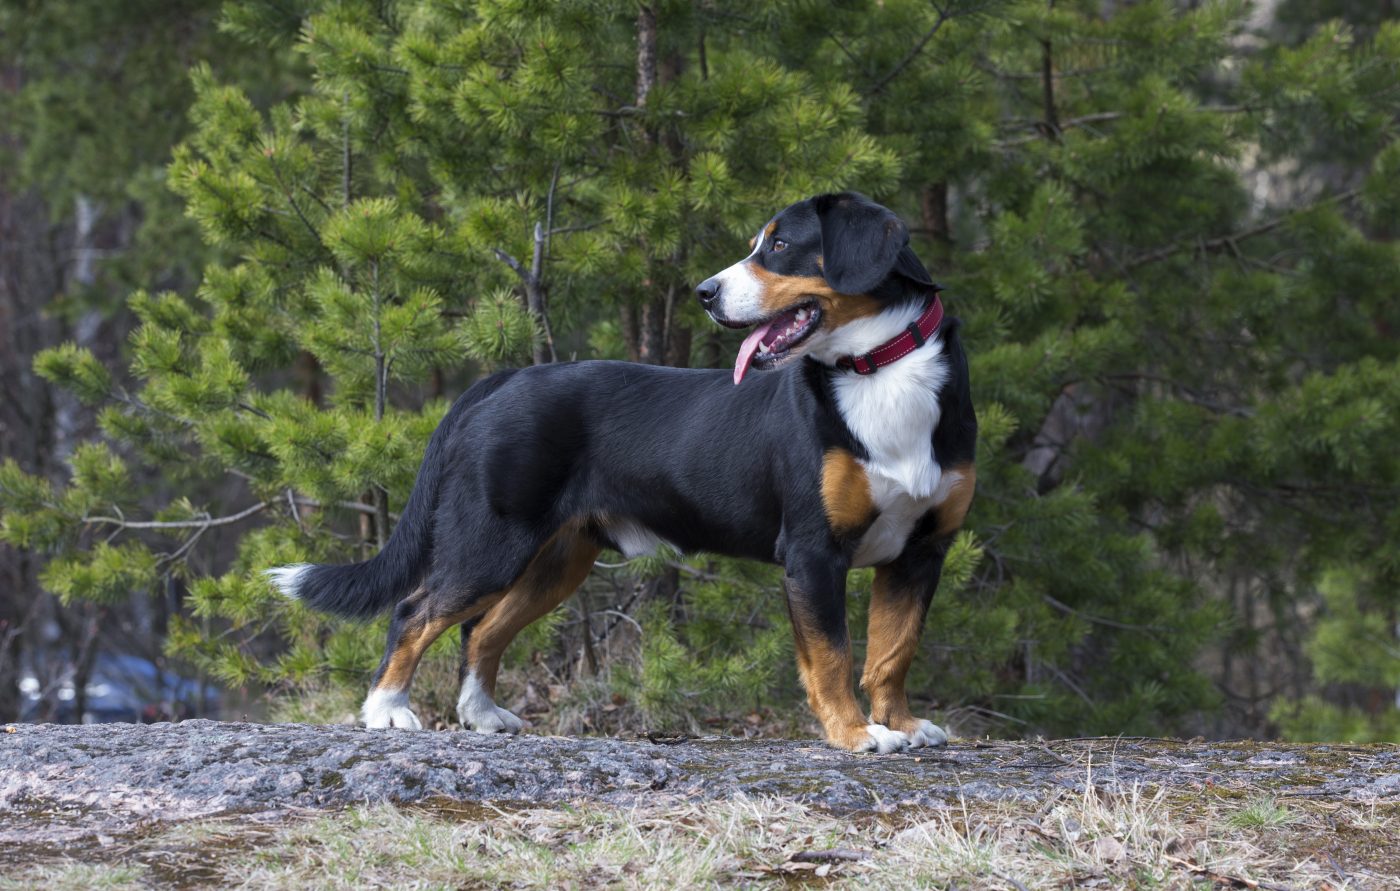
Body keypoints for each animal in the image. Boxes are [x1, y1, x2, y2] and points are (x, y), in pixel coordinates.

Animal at [270, 193, 974, 750]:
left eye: (779, 244)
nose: (705, 294)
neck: (879, 370)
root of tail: (506, 378)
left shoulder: (921, 552)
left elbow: (892, 651)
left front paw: (902, 724)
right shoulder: (811, 551)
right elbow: (832, 656)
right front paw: (856, 734)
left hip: (556, 559)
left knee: (482, 630)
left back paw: (483, 714)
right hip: (489, 542)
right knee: (416, 611)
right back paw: (387, 711)